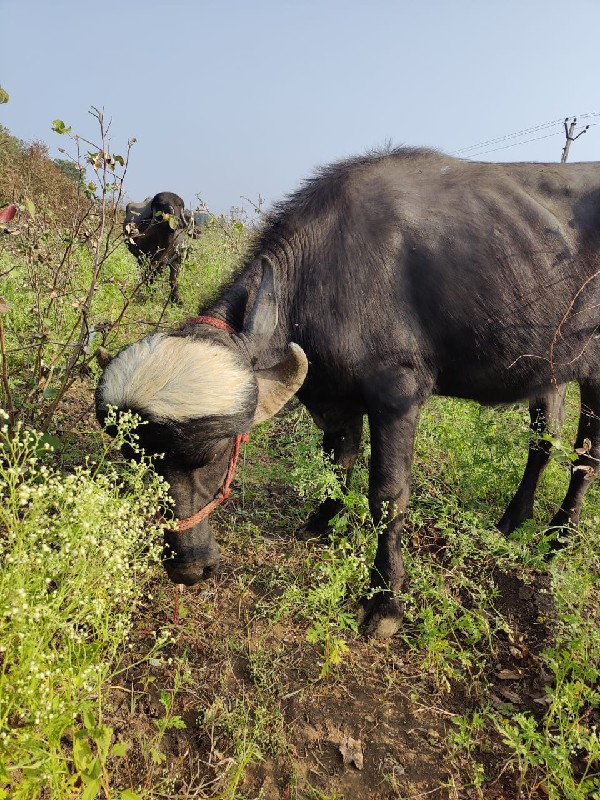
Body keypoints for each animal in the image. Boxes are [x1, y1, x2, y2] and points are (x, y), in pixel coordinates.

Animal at [96, 148, 600, 636]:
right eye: (139, 460)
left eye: (216, 454)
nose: (187, 568)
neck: (325, 270)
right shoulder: (335, 396)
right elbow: (338, 460)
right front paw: (323, 519)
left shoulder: (398, 395)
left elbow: (388, 495)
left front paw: (386, 599)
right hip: (549, 370)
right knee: (542, 443)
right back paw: (512, 521)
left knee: (585, 457)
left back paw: (559, 538)